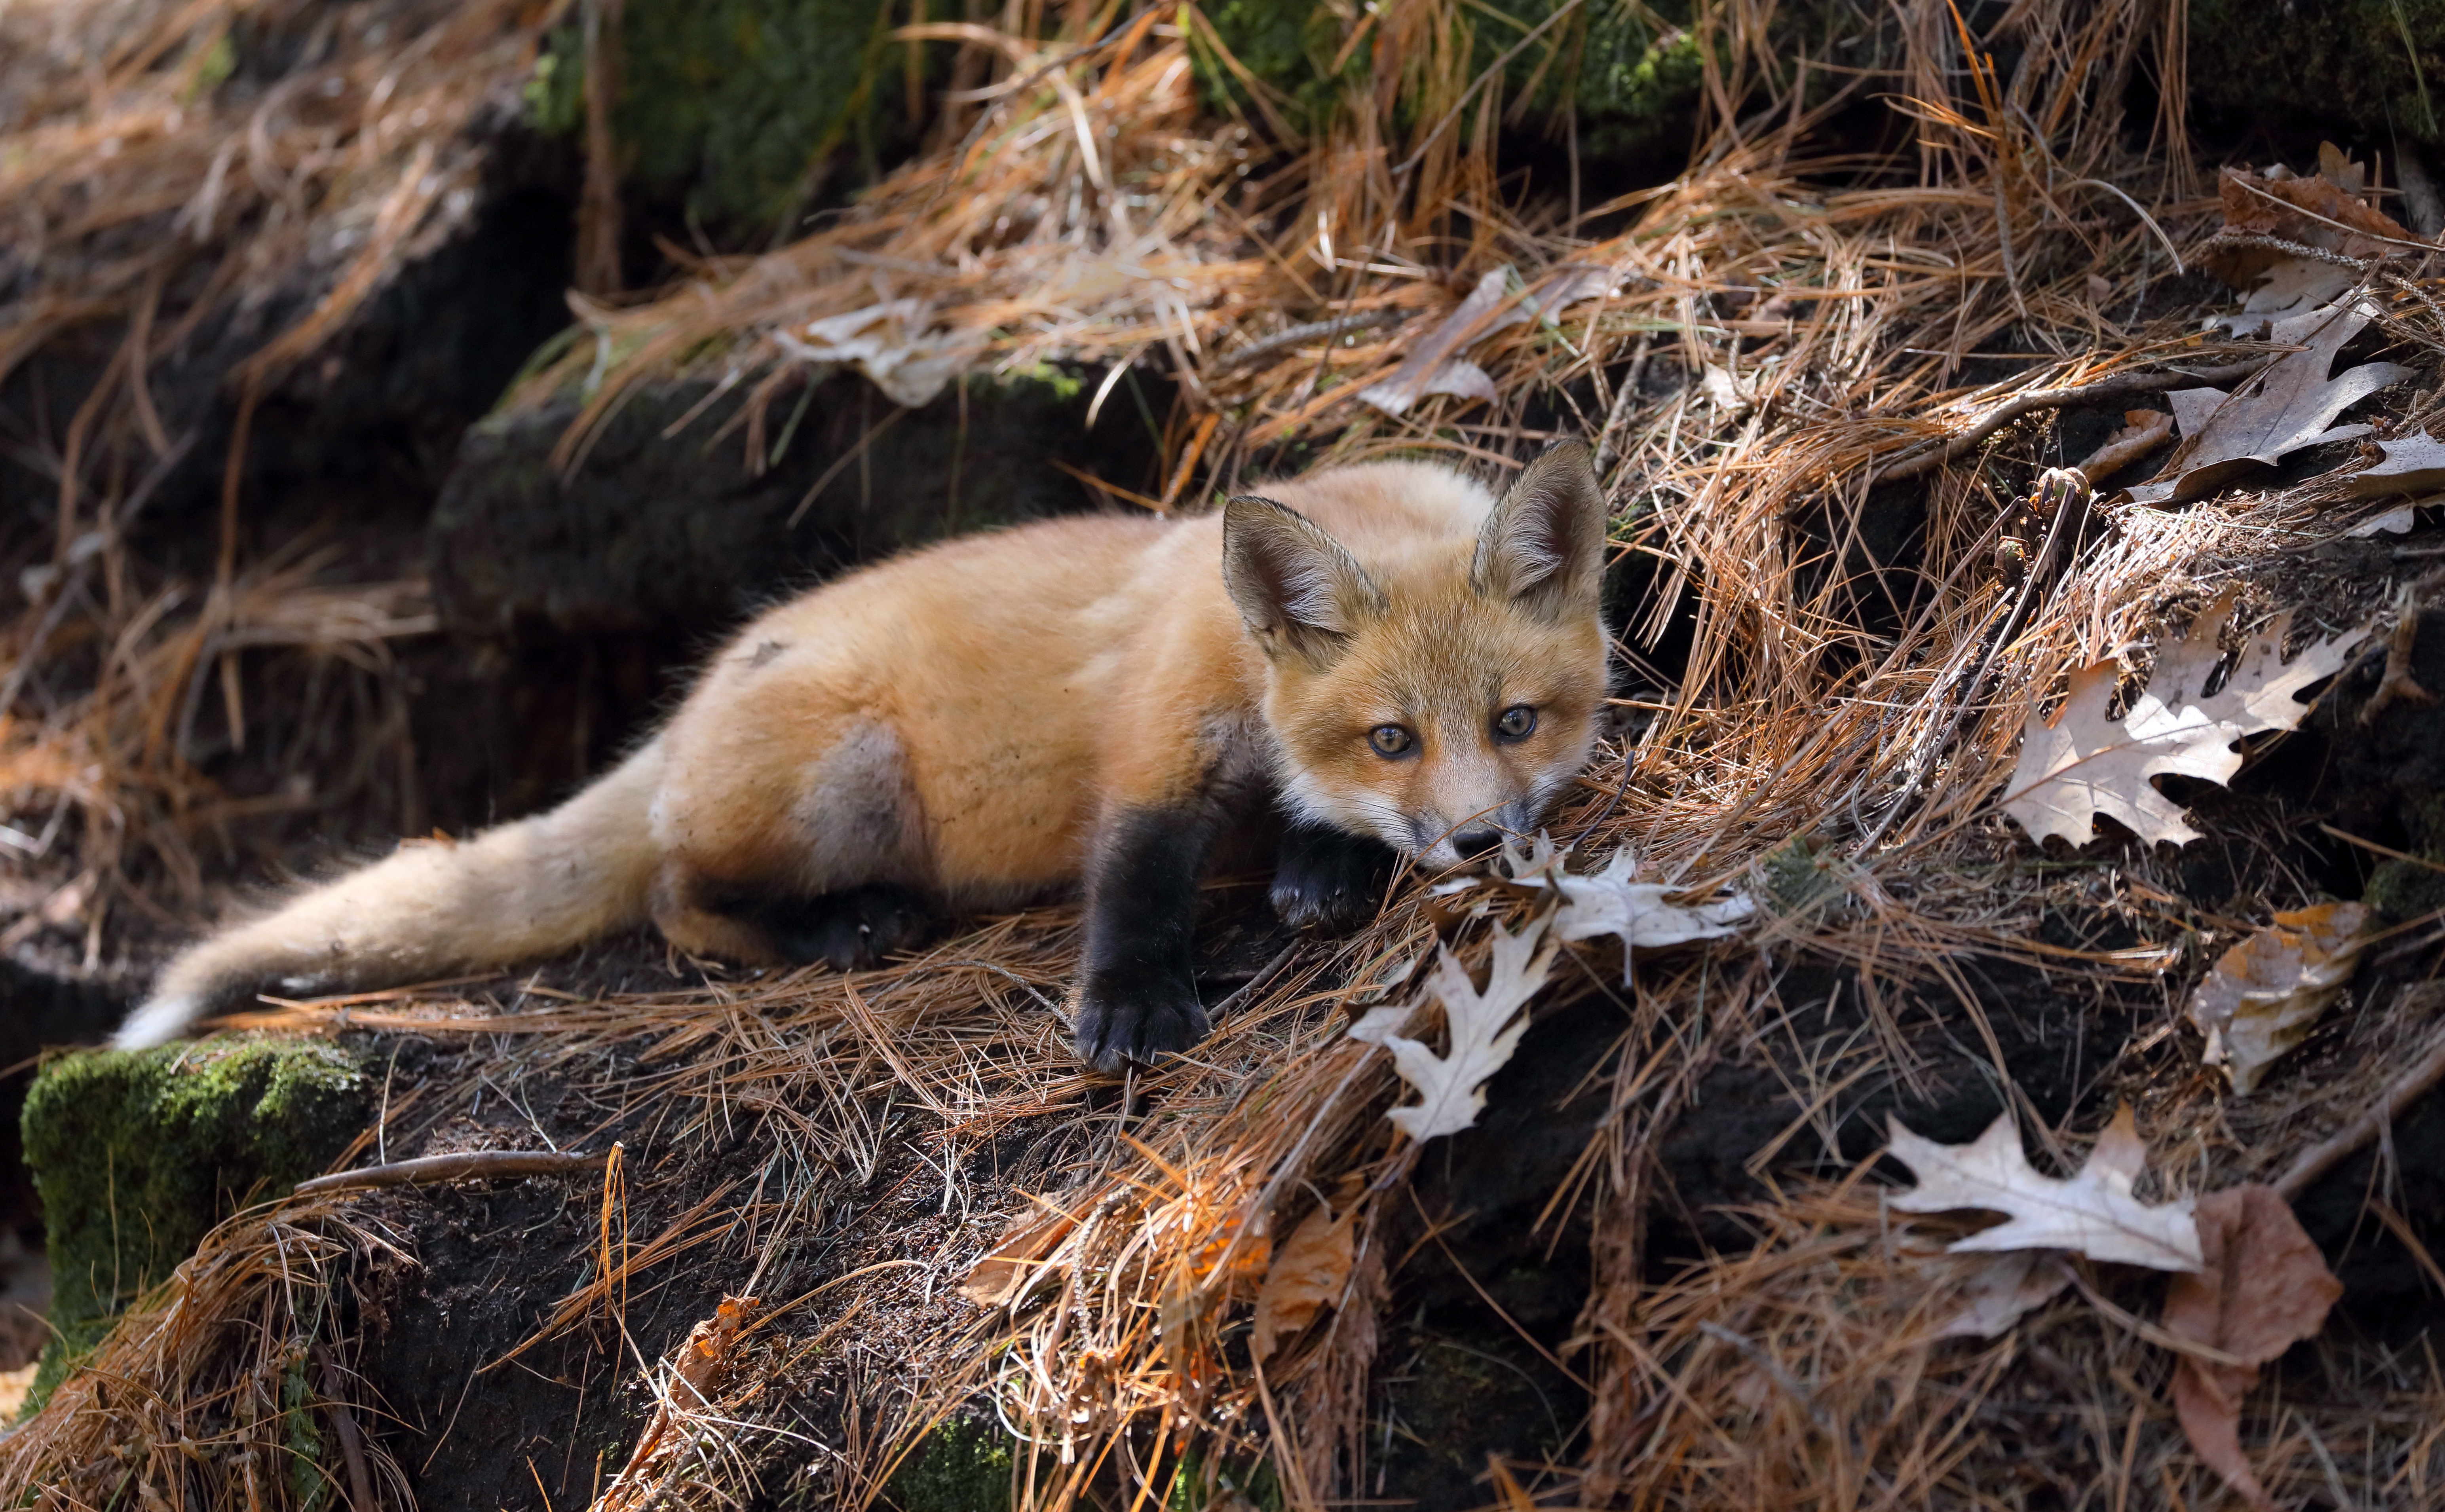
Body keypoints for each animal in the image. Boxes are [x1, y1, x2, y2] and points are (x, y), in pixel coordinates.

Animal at [115, 444, 1613, 1070]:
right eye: (1392, 735)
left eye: (1513, 723)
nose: (1481, 843)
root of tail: (684, 708)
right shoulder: (1153, 743)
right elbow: (1131, 883)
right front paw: (1130, 1007)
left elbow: (1318, 825)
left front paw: (1320, 868)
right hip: (843, 770)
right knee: (676, 897)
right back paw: (845, 926)